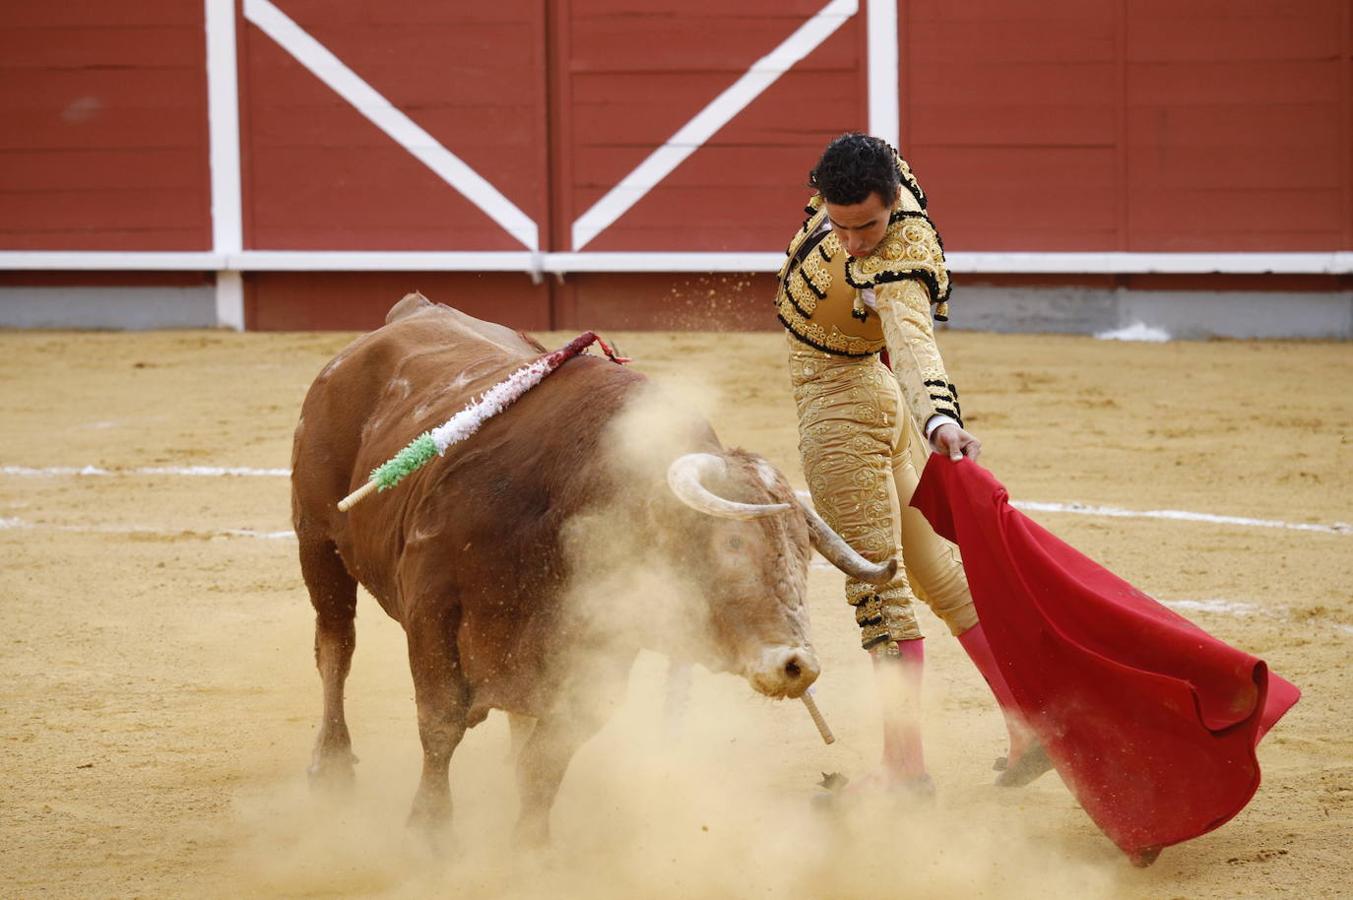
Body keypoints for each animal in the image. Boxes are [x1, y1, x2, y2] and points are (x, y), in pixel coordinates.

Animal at [290, 290, 892, 839]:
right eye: (732, 545)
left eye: (802, 555)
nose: (798, 666)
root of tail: (410, 311)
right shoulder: (432, 611)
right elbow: (440, 723)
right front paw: (429, 831)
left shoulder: (597, 656)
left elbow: (545, 761)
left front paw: (528, 846)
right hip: (316, 541)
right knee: (335, 647)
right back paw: (330, 765)